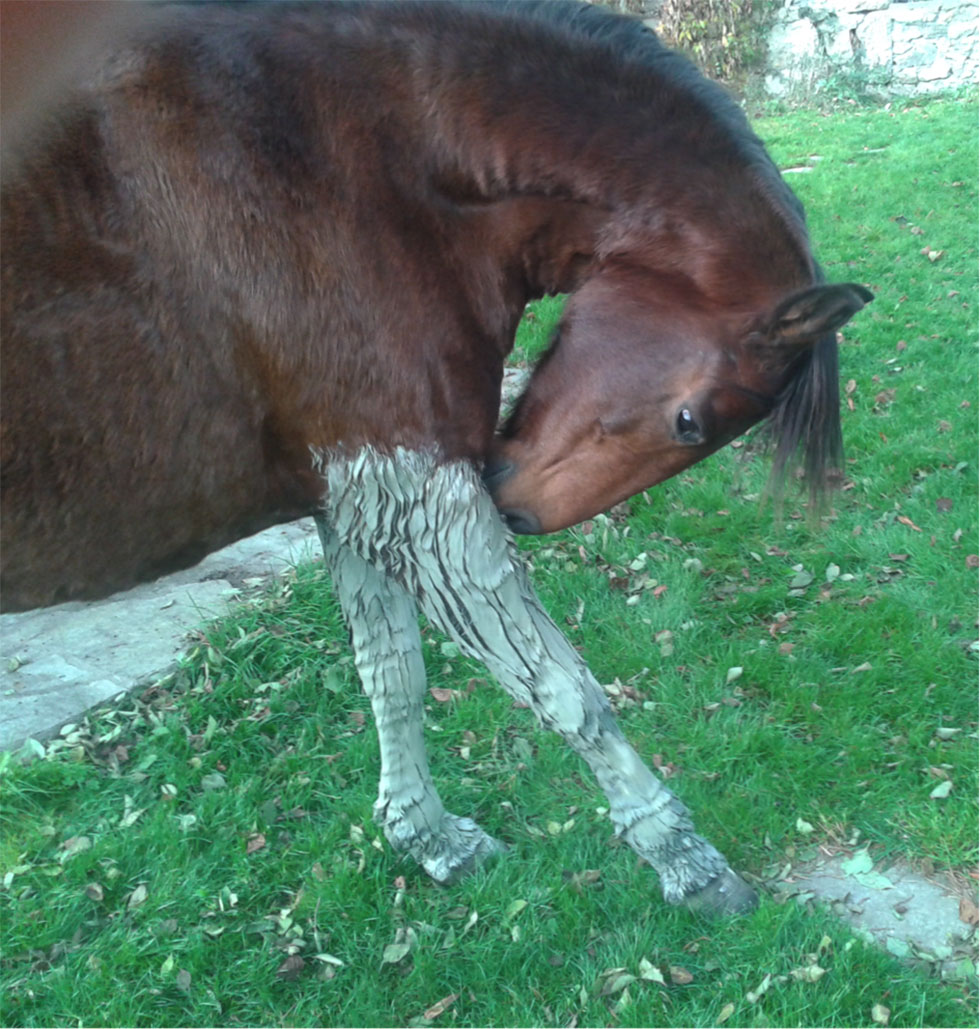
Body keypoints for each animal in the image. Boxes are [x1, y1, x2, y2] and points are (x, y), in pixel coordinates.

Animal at [1, 0, 872, 917]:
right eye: (688, 421)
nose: (518, 508)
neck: (350, 158)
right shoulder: (424, 500)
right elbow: (566, 691)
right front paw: (685, 859)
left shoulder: (361, 494)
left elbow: (394, 673)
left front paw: (426, 836)